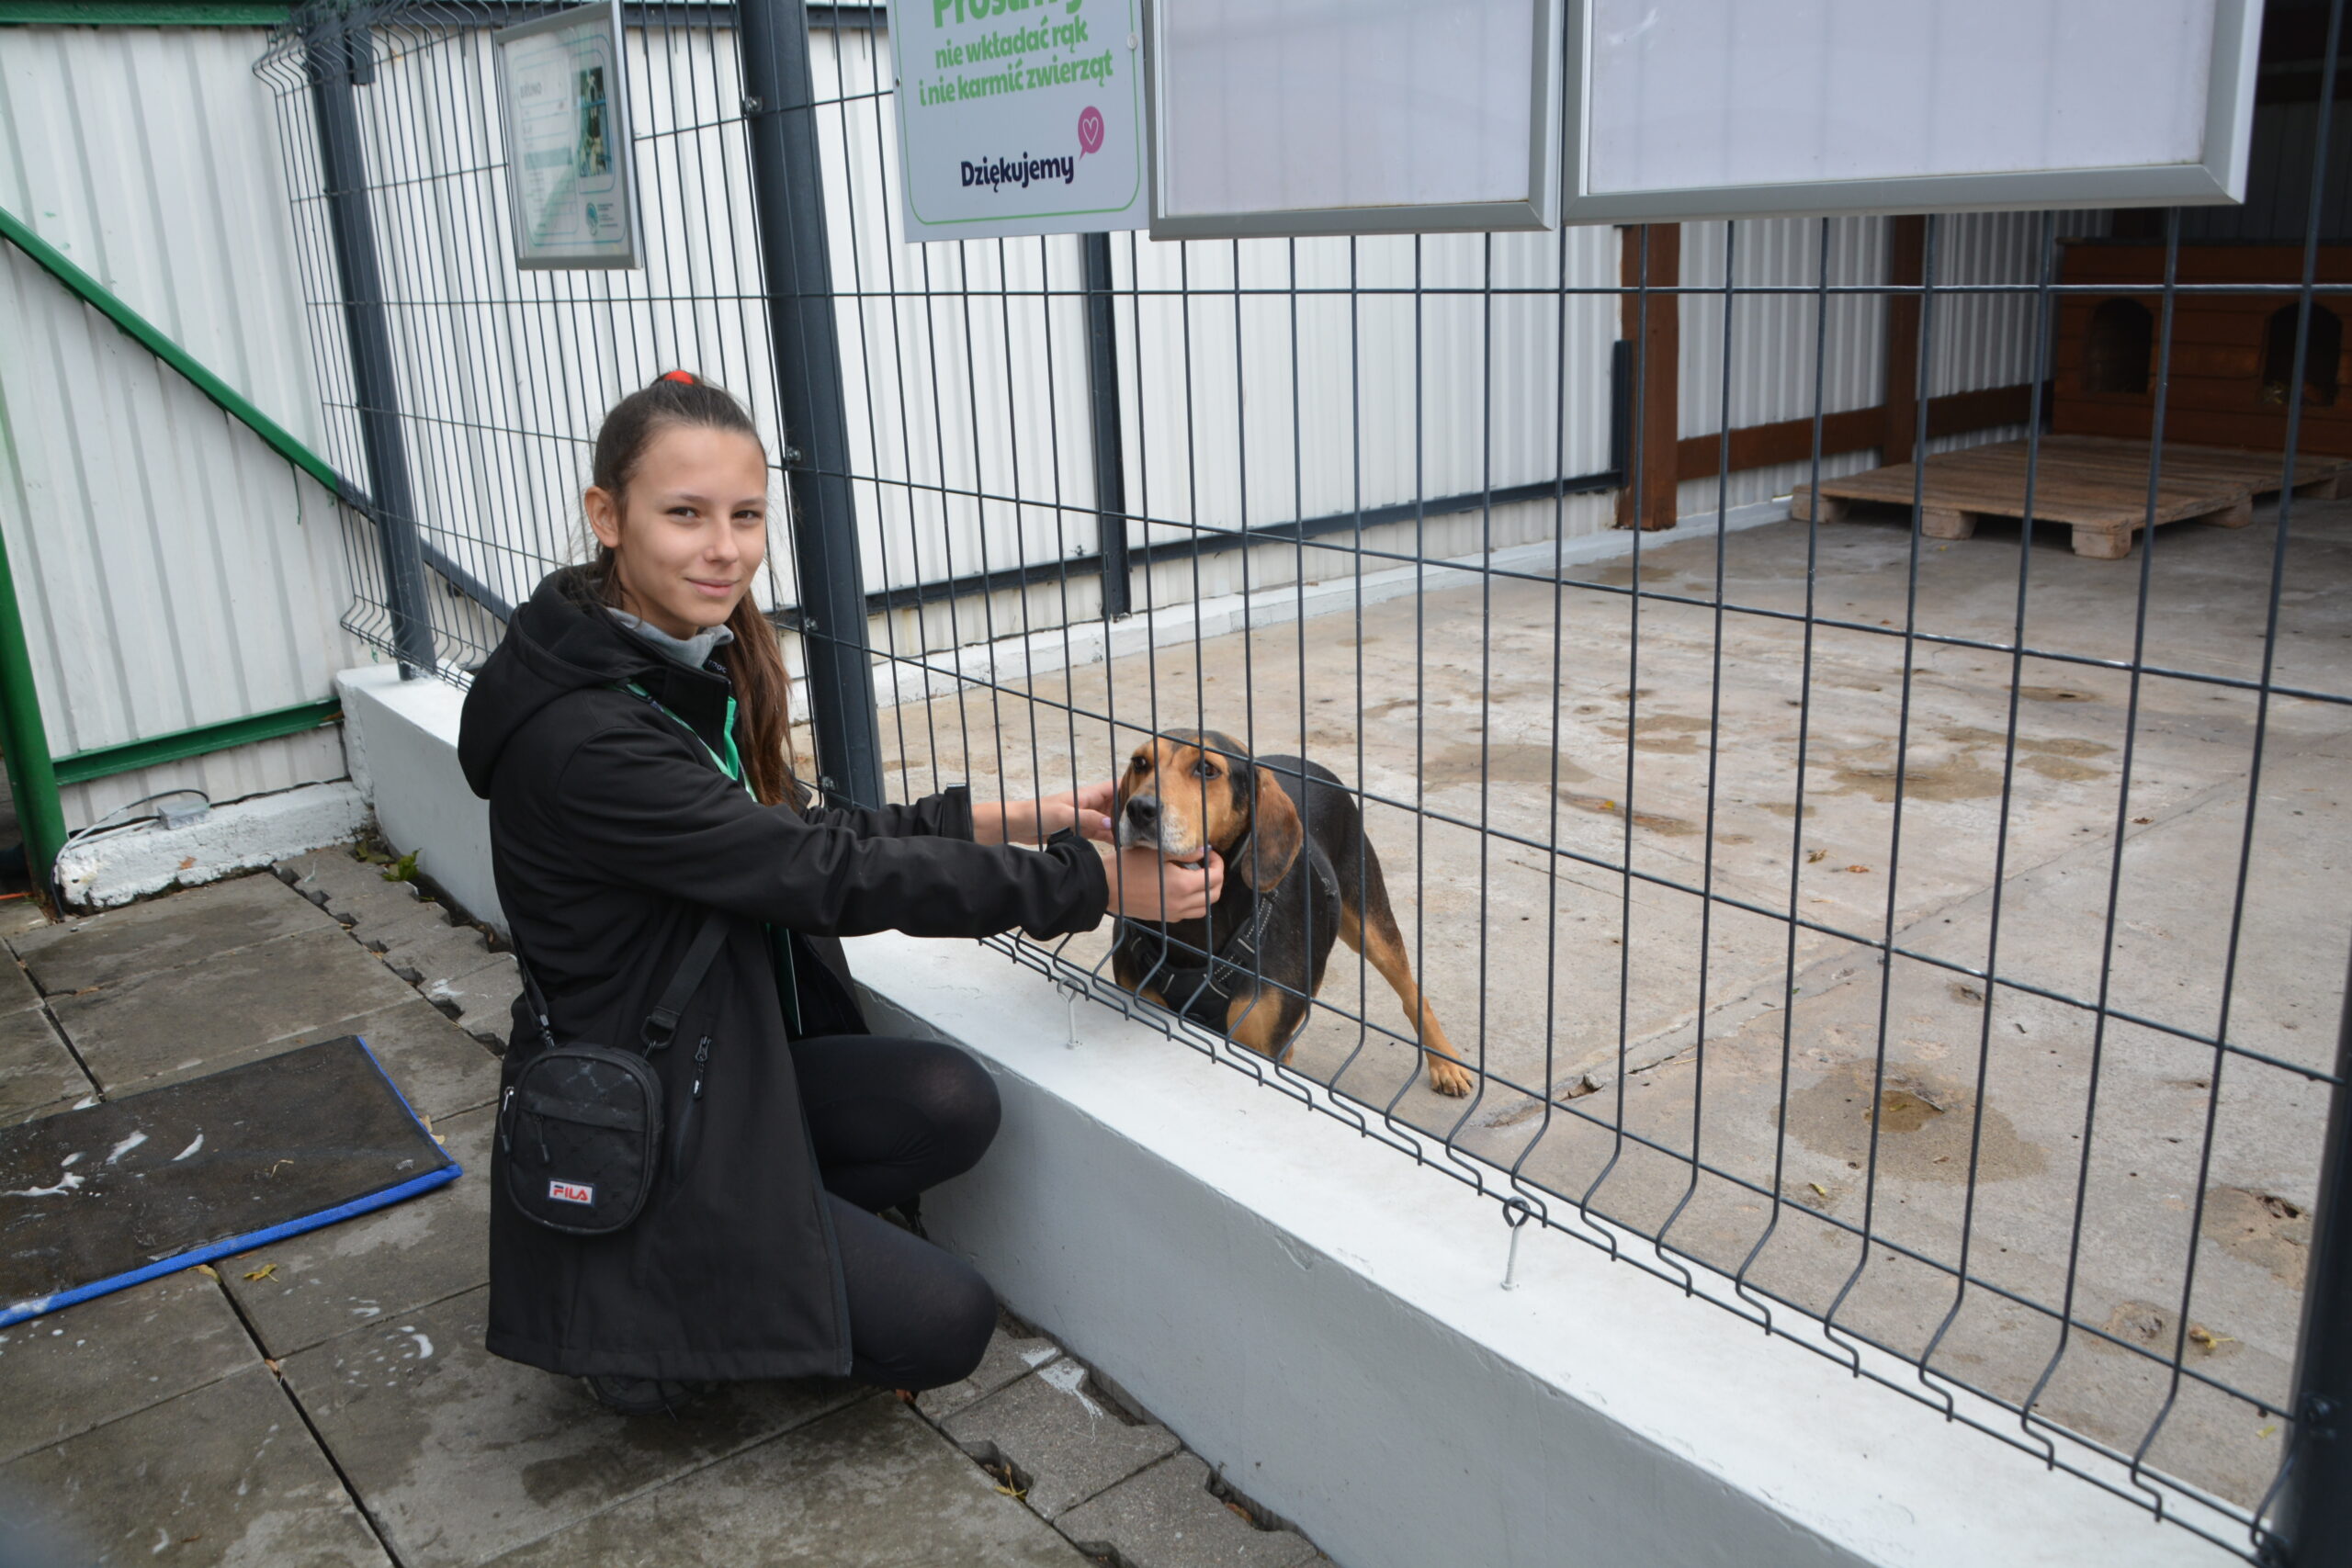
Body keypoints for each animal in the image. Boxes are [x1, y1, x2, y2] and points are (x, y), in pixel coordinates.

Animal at [1110, 730, 1473, 1097]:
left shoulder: (1259, 1045)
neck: (1196, 927)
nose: (1139, 809)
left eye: (1207, 769)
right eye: (1140, 763)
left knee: (1413, 993)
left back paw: (1446, 1065)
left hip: (1371, 922)